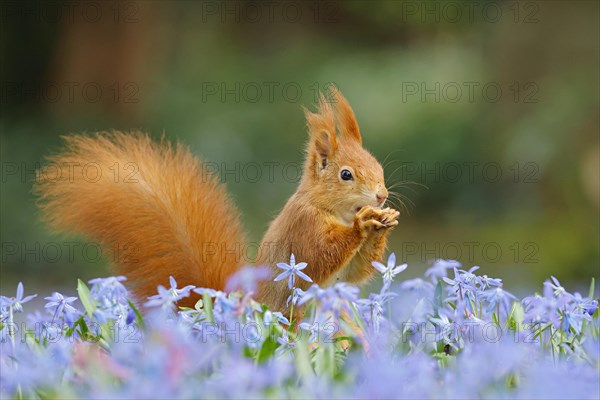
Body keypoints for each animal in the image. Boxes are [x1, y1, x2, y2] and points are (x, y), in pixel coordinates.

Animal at [34, 88, 398, 312]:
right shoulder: (304, 227)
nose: (381, 195)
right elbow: (320, 257)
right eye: (346, 175)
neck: (333, 210)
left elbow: (355, 273)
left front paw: (385, 221)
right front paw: (363, 224)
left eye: (378, 166)